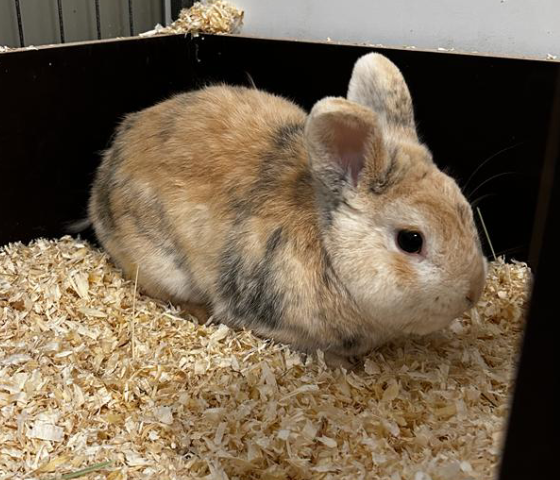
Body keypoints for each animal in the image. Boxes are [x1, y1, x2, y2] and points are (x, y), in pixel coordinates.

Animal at [88, 52, 487, 368]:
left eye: (465, 209)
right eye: (411, 240)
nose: (474, 292)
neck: (330, 252)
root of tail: (103, 174)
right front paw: (344, 364)